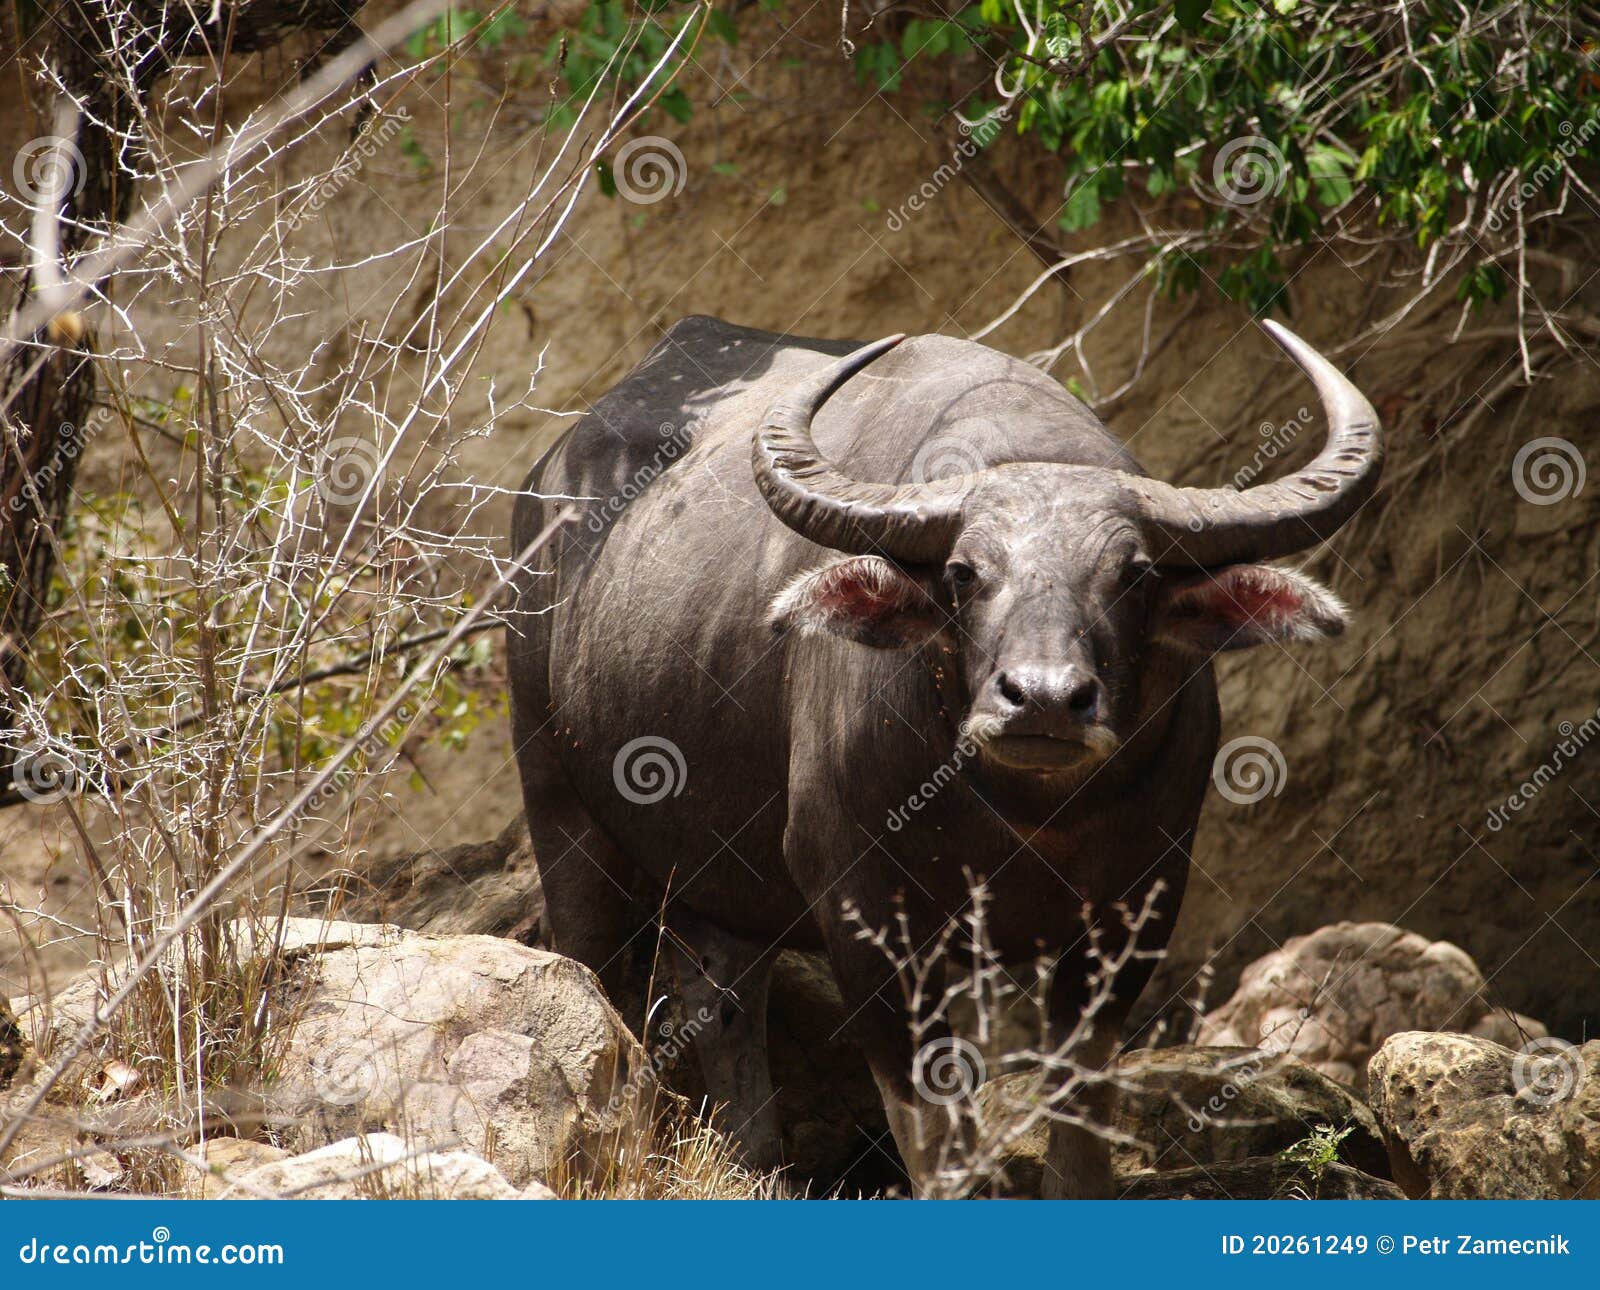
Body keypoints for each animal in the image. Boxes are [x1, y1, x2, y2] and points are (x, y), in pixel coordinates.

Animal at [505, 315, 1382, 1203]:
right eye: (964, 572)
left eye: (1133, 575)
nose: (1042, 699)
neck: (1030, 819)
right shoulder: (866, 921)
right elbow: (933, 1128)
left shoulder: (1133, 915)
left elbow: (1079, 1116)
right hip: (558, 799)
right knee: (597, 970)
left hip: (712, 880)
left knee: (721, 1005)